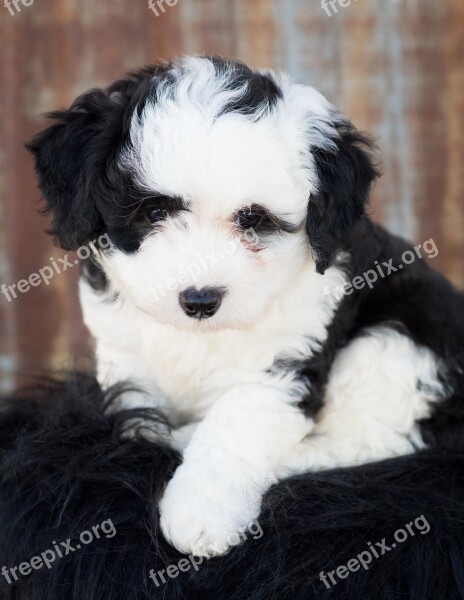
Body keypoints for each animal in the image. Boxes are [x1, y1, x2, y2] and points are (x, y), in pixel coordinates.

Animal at [28, 56, 464, 556]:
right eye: (154, 213)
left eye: (253, 220)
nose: (200, 300)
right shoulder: (124, 355)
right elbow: (136, 414)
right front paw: (148, 439)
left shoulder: (285, 361)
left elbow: (237, 421)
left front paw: (202, 511)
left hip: (403, 337)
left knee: (377, 439)